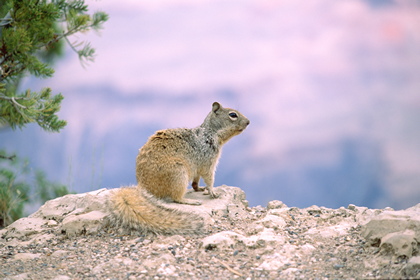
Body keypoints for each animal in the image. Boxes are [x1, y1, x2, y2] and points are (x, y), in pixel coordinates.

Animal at [108, 101, 249, 235]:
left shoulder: (197, 167)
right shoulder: (208, 161)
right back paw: (190, 201)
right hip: (179, 174)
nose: (248, 122)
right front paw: (213, 192)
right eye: (233, 115)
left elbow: (196, 180)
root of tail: (143, 188)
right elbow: (209, 177)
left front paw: (199, 188)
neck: (210, 133)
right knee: (176, 198)